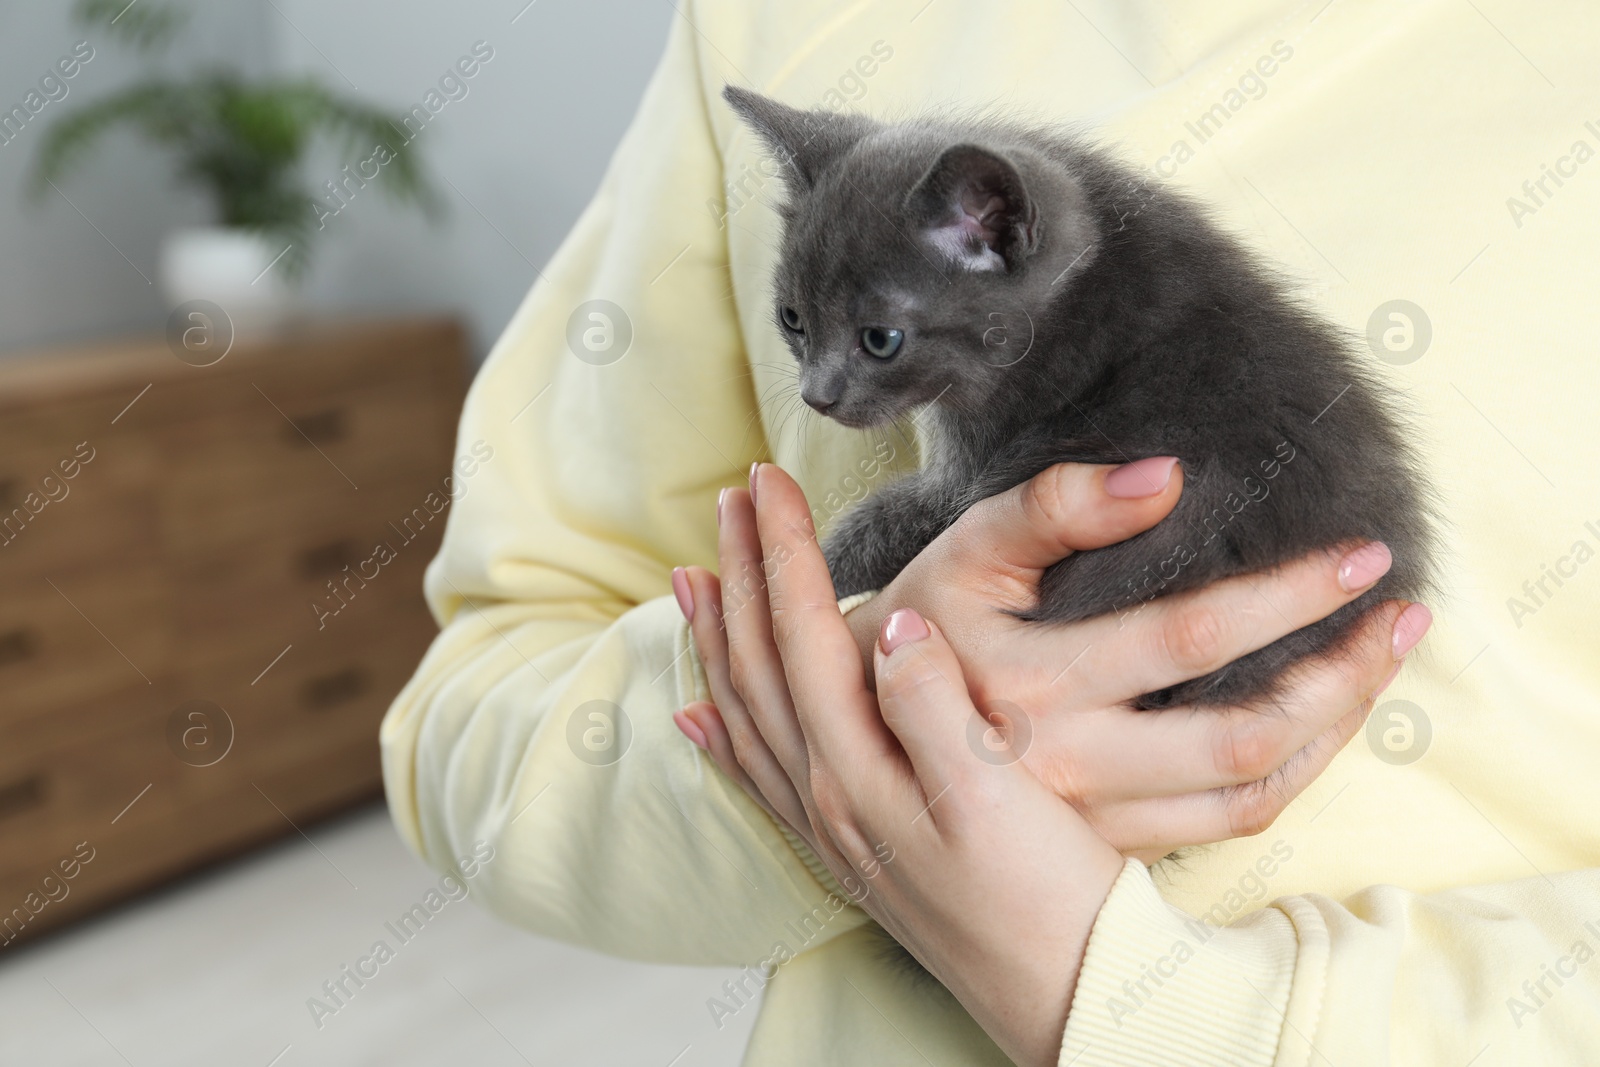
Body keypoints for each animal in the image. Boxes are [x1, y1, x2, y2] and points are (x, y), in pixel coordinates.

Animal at [729, 85, 1440, 710]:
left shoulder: (974, 466)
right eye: (793, 319)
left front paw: (802, 571)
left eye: (881, 339)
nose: (817, 396)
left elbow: (886, 522)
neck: (1068, 297)